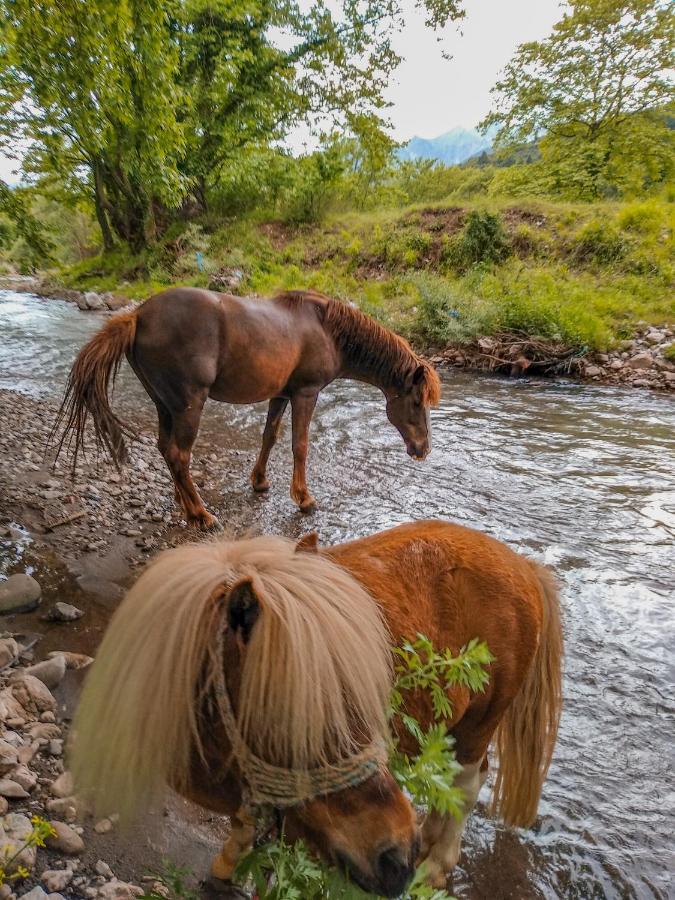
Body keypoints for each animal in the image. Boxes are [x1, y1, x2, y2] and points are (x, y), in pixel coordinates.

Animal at [52, 288, 444, 528]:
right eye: (416, 401)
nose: (422, 449)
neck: (326, 330)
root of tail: (137, 316)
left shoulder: (281, 395)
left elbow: (269, 438)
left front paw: (259, 481)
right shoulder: (305, 394)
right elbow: (299, 446)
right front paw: (303, 498)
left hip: (164, 404)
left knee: (166, 449)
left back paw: (184, 503)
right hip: (189, 404)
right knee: (179, 453)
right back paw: (201, 514)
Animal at [71, 520, 564, 892]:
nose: (396, 858)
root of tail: (521, 564)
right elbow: (249, 816)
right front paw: (229, 865)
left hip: (480, 723)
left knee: (465, 783)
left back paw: (436, 863)